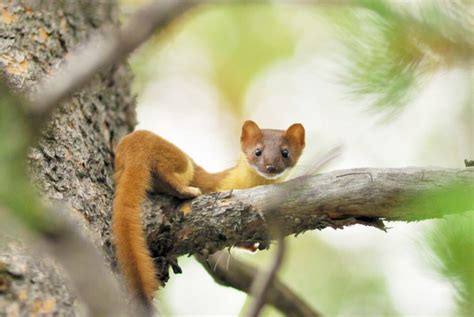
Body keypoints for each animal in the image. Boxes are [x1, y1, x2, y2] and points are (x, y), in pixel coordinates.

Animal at [112, 118, 304, 306]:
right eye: (258, 151)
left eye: (285, 152)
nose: (270, 167)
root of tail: (131, 143)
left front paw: (251, 245)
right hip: (181, 161)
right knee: (164, 169)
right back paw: (188, 190)